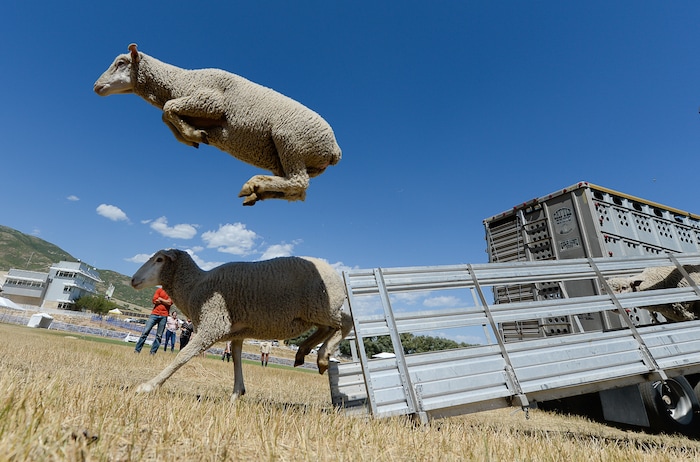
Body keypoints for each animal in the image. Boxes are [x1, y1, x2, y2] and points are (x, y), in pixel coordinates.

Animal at [94, 44, 342, 206]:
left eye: (121, 63)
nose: (96, 86)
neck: (178, 81)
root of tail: (334, 149)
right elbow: (167, 114)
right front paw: (192, 137)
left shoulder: (210, 102)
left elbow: (167, 109)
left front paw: (193, 134)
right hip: (285, 158)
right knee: (295, 191)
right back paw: (257, 191)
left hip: (291, 142)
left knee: (299, 183)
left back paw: (254, 184)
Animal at [130, 249, 353, 401]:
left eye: (159, 259)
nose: (133, 280)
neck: (193, 286)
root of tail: (335, 274)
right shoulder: (235, 334)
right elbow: (236, 360)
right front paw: (237, 394)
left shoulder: (213, 324)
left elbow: (182, 356)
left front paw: (148, 386)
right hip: (314, 313)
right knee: (327, 328)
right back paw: (304, 351)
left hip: (321, 307)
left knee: (346, 323)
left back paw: (323, 356)